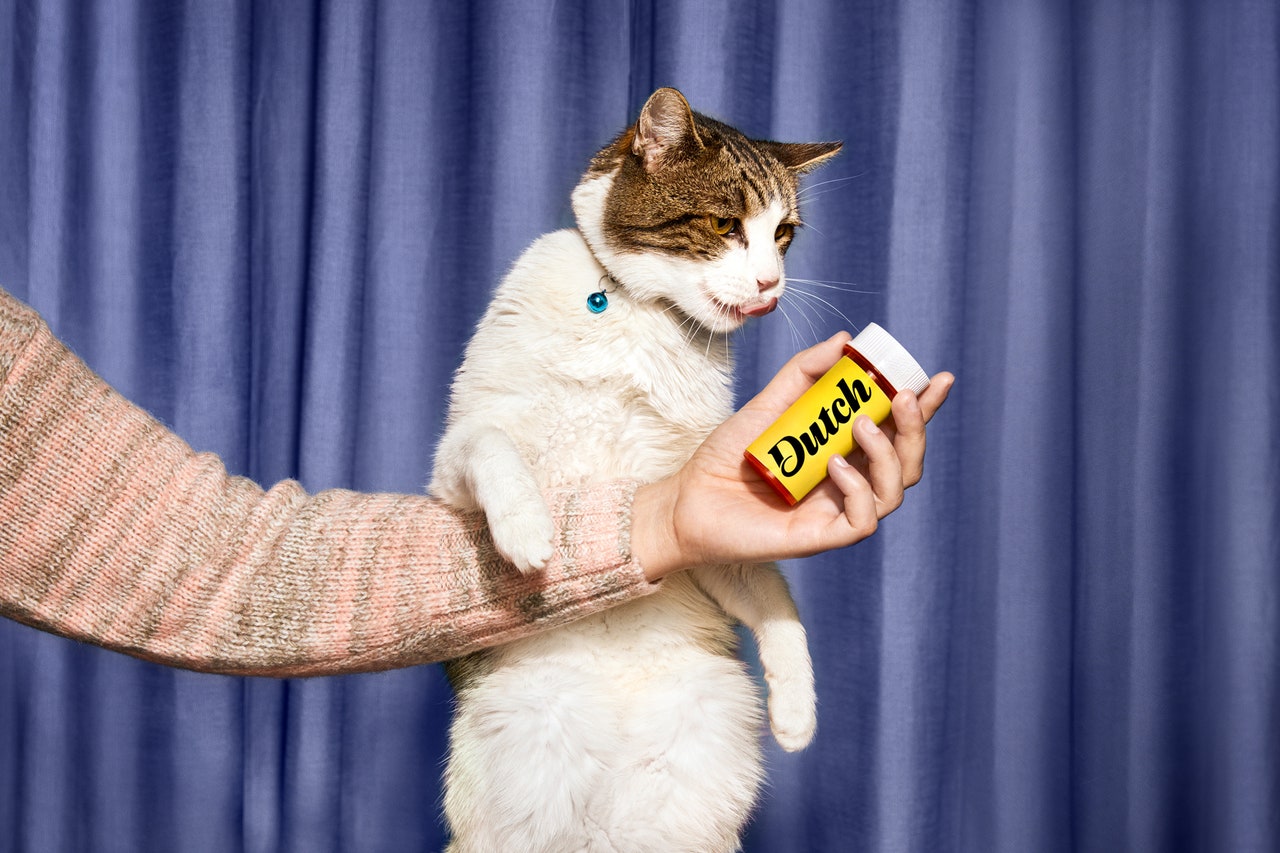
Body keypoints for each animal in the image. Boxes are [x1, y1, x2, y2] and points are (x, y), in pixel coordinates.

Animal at [432, 87, 839, 850]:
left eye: (784, 235)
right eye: (725, 224)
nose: (772, 283)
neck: (635, 313)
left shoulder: (700, 531)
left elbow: (775, 598)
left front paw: (798, 709)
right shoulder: (453, 464)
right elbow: (492, 447)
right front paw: (528, 531)